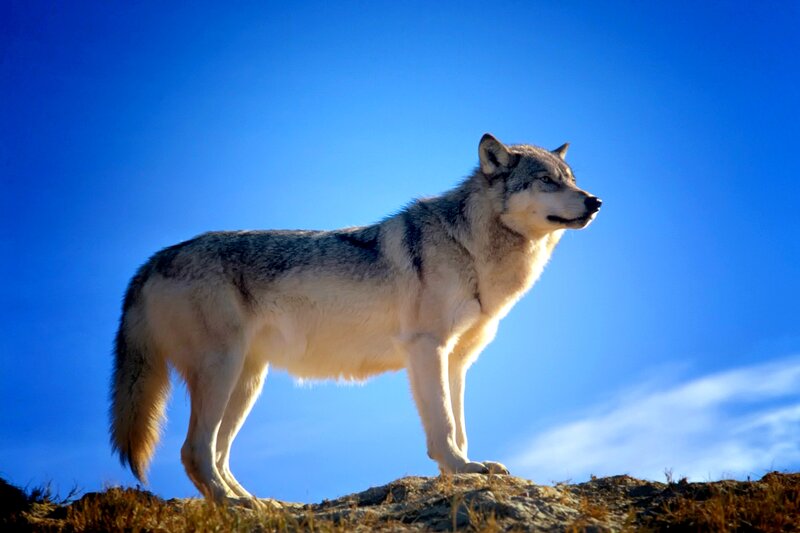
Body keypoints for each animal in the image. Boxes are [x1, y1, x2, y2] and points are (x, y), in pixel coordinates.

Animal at [110, 133, 601, 502]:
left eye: (571, 180)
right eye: (546, 181)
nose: (595, 201)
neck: (470, 248)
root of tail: (151, 261)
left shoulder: (457, 361)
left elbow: (460, 426)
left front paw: (465, 469)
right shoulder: (427, 349)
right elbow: (443, 425)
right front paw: (460, 470)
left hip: (247, 382)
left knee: (217, 453)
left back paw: (258, 503)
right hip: (222, 372)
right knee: (194, 451)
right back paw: (233, 506)